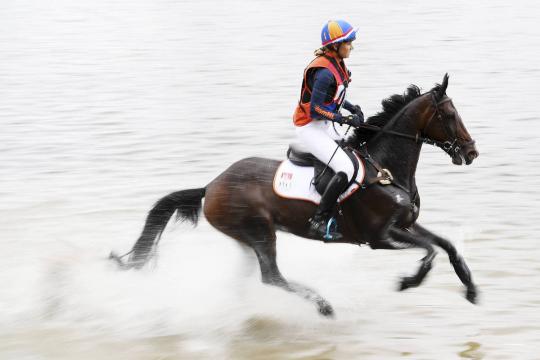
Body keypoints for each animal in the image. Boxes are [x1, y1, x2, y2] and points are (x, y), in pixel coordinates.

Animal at [110, 74, 480, 316]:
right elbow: (430, 251)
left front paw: (472, 290)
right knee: (272, 276)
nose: (471, 151)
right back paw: (323, 305)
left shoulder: (405, 225)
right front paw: (407, 282)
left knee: (254, 278)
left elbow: (447, 246)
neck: (385, 168)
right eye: (450, 115)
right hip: (260, 233)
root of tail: (210, 186)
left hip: (247, 238)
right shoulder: (381, 236)